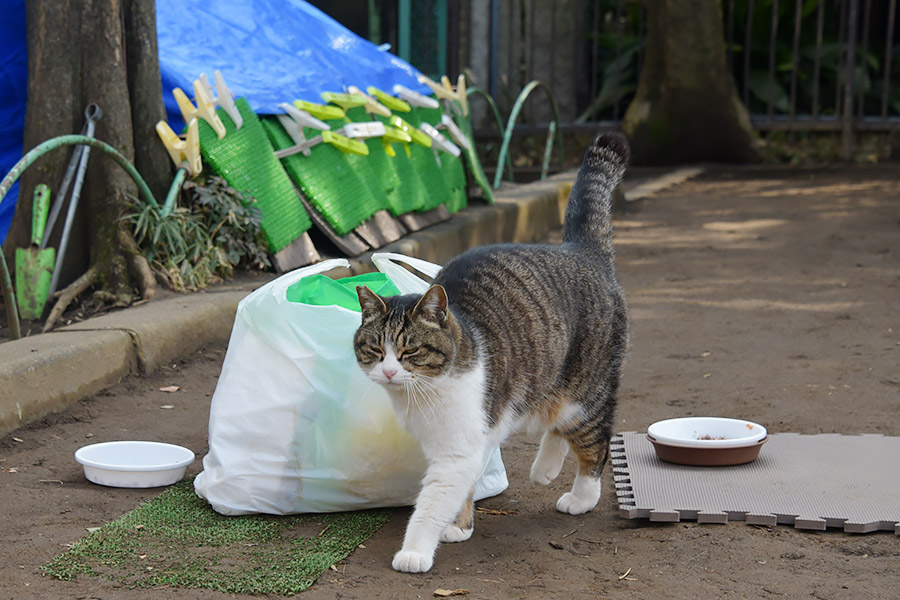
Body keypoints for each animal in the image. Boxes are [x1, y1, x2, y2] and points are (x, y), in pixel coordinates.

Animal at [356, 134, 628, 576]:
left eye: (410, 350)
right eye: (376, 349)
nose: (391, 373)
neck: (424, 395)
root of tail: (580, 249)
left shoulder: (455, 451)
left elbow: (431, 503)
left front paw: (415, 551)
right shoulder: (470, 442)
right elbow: (465, 487)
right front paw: (460, 526)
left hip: (587, 390)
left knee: (594, 439)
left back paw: (581, 497)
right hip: (543, 383)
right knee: (556, 424)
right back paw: (544, 469)